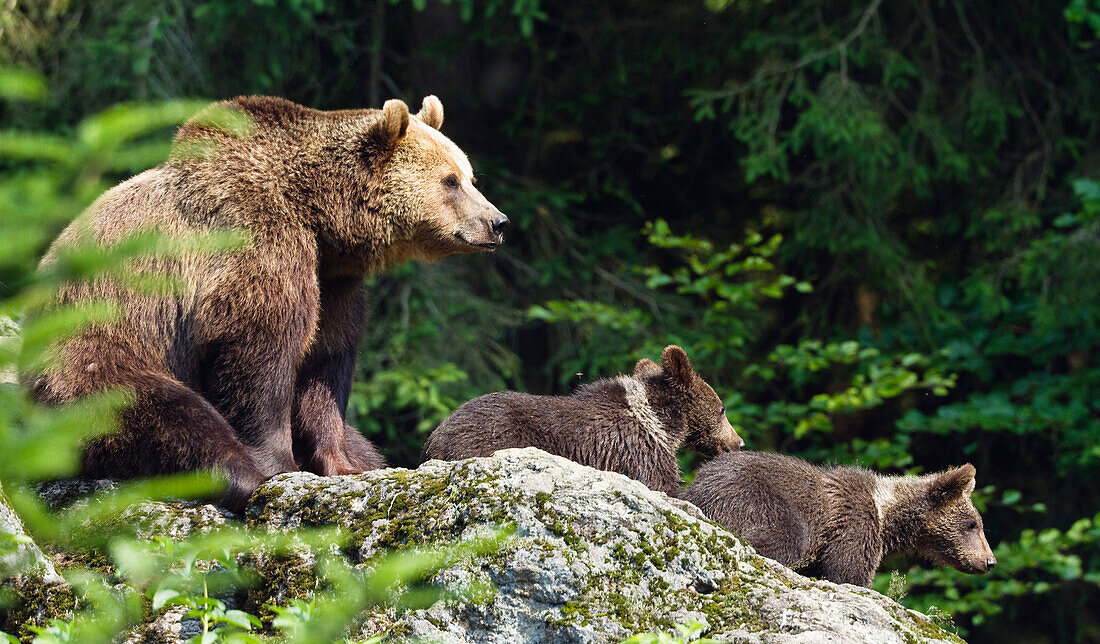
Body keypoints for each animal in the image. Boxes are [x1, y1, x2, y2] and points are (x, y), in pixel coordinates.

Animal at [30, 94, 508, 506]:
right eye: (450, 181)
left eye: (469, 177)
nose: (498, 222)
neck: (319, 217)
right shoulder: (257, 242)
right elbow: (262, 353)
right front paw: (279, 465)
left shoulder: (335, 284)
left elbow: (325, 367)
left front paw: (344, 465)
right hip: (100, 350)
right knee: (166, 413)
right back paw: (237, 475)